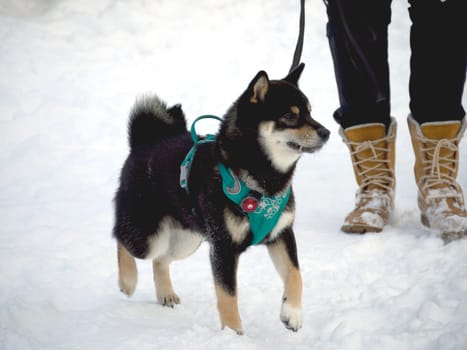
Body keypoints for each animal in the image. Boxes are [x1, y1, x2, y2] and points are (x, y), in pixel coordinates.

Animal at [113, 63, 330, 334]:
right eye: (289, 116)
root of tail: (145, 141)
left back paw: (166, 294)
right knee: (121, 238)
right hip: (148, 235)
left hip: (186, 239)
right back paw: (128, 280)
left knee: (161, 260)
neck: (262, 182)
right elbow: (228, 296)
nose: (326, 132)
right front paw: (235, 335)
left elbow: (296, 275)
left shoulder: (281, 234)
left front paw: (292, 313)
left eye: (310, 111)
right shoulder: (223, 247)